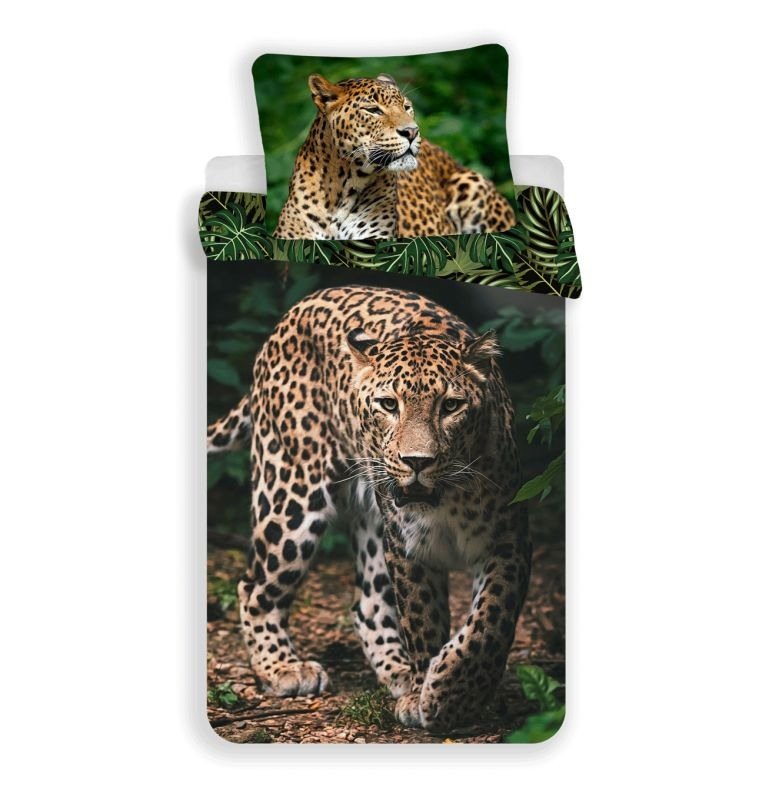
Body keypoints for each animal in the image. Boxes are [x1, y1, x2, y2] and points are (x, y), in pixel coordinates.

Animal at [207, 285, 531, 730]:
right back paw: (283, 668)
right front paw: (431, 695)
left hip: (372, 523)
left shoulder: (508, 540)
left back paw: (398, 672)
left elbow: (490, 622)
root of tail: (291, 314)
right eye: (388, 404)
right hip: (291, 493)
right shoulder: (408, 549)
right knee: (254, 586)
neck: (446, 499)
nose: (417, 462)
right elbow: (423, 621)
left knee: (368, 604)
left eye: (451, 406)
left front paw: (452, 692)